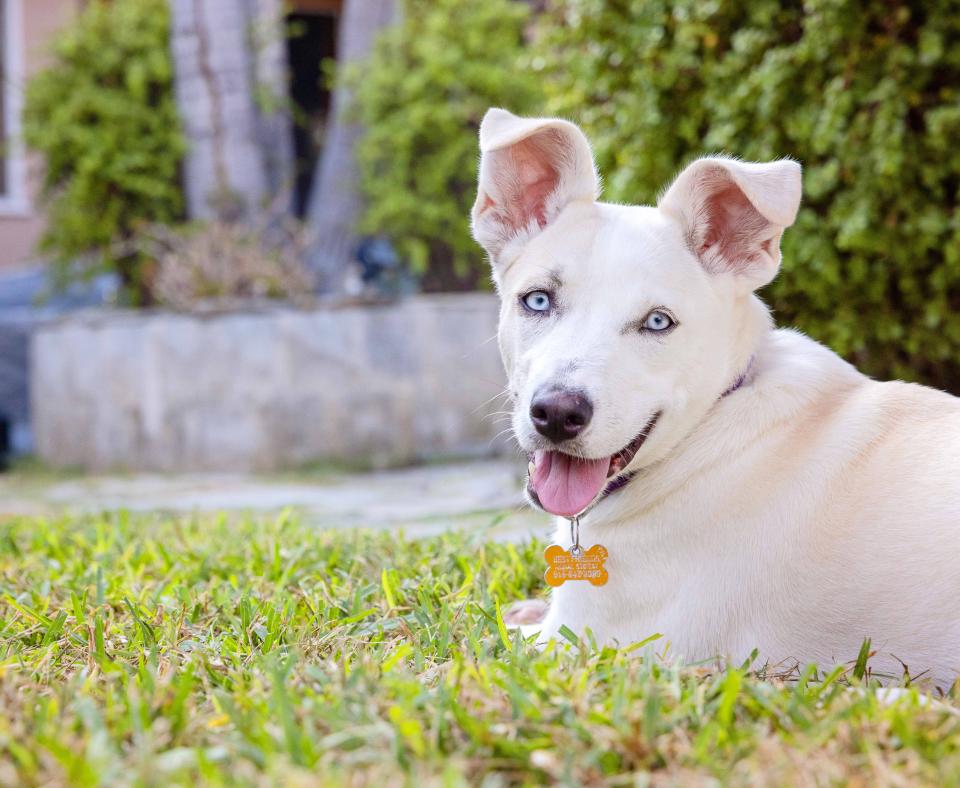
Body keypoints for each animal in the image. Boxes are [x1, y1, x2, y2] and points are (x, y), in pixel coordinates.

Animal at [470, 107, 960, 688]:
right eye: (538, 300)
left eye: (658, 322)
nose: (557, 414)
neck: (713, 422)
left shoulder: (585, 643)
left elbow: (490, 635)